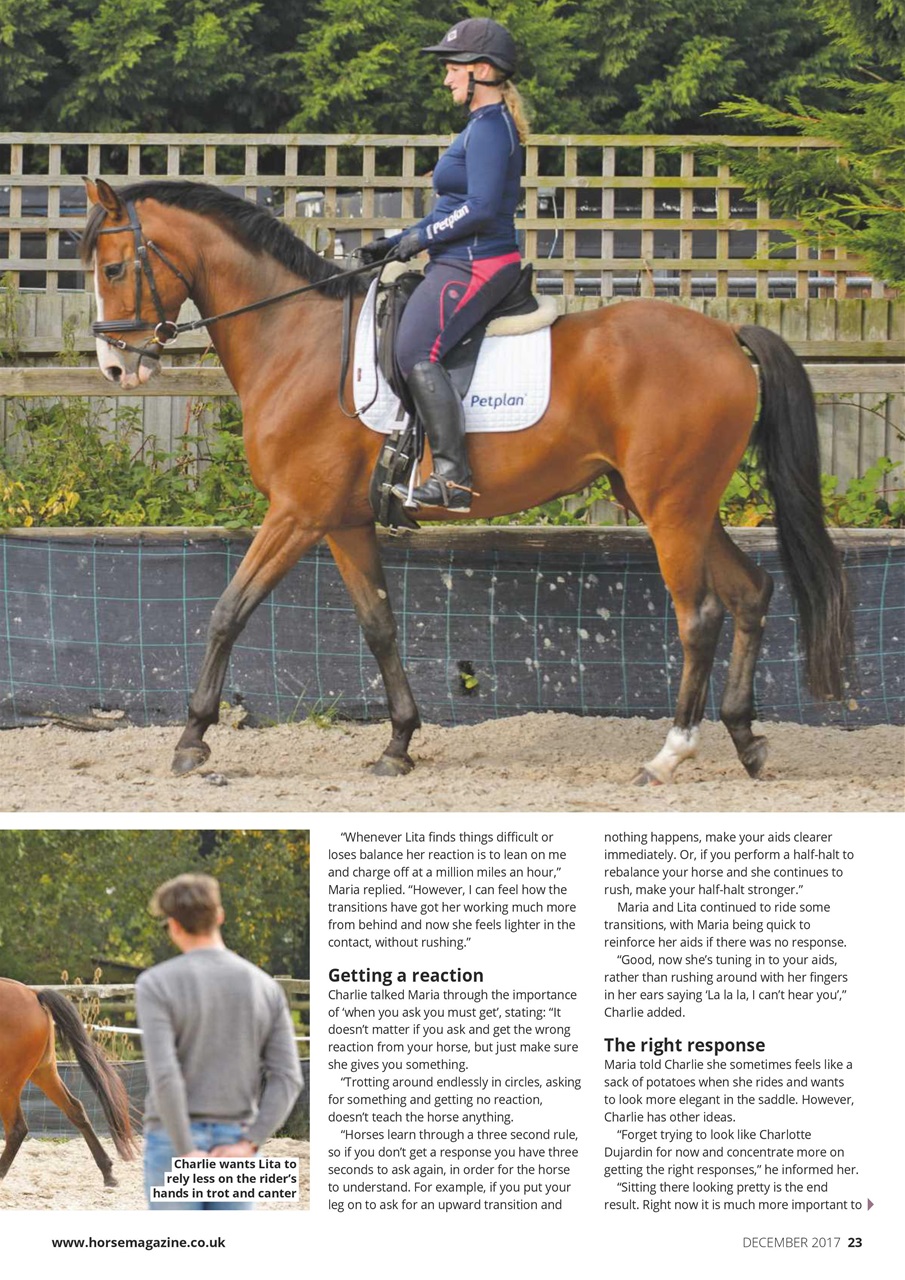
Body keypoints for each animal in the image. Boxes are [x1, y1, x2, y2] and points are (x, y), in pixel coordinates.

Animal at [0, 978, 136, 1187]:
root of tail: (33, 994)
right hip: (44, 1071)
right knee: (75, 1110)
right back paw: (108, 1173)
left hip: (8, 1083)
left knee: (17, 1129)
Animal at [82, 177, 850, 786]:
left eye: (115, 267)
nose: (116, 366)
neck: (295, 338)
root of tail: (725, 336)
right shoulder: (344, 522)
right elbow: (379, 625)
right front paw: (397, 744)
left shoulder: (297, 515)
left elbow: (226, 613)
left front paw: (192, 740)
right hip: (676, 503)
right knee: (751, 594)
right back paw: (746, 740)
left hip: (670, 508)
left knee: (700, 617)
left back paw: (668, 755)